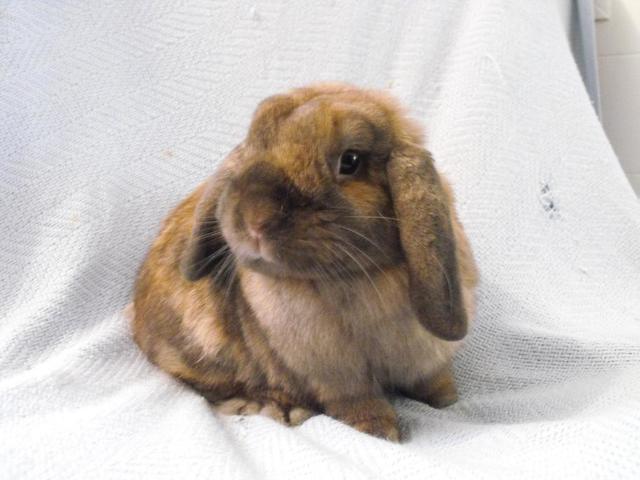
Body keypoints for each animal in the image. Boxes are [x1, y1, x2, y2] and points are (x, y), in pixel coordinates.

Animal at [131, 83, 478, 442]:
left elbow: (431, 378)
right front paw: (379, 430)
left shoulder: (427, 356)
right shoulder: (334, 373)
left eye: (350, 161)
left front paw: (446, 398)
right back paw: (275, 407)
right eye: (254, 146)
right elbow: (355, 398)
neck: (357, 277)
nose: (256, 219)